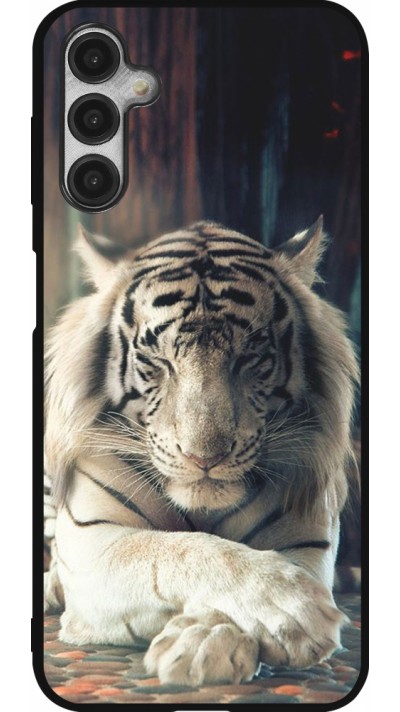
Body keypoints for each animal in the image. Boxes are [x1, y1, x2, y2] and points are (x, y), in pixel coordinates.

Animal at [44, 218, 359, 686]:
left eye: (250, 357)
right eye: (157, 361)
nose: (204, 458)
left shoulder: (306, 540)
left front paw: (205, 643)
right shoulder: (93, 541)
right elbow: (179, 549)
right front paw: (292, 607)